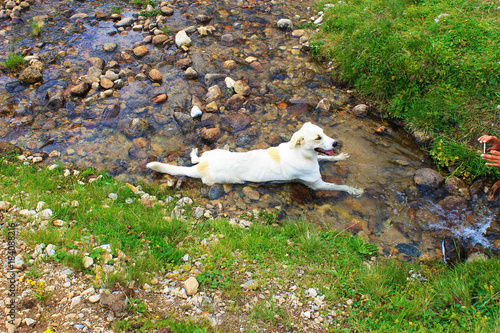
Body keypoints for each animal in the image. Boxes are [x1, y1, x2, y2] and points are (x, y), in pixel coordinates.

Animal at [146, 121, 364, 195]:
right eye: (318, 137)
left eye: (324, 132)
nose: (336, 143)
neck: (302, 154)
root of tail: (202, 168)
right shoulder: (316, 184)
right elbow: (339, 186)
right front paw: (354, 190)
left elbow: (325, 159)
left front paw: (340, 156)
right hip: (229, 178)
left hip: (215, 152)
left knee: (195, 159)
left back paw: (194, 153)